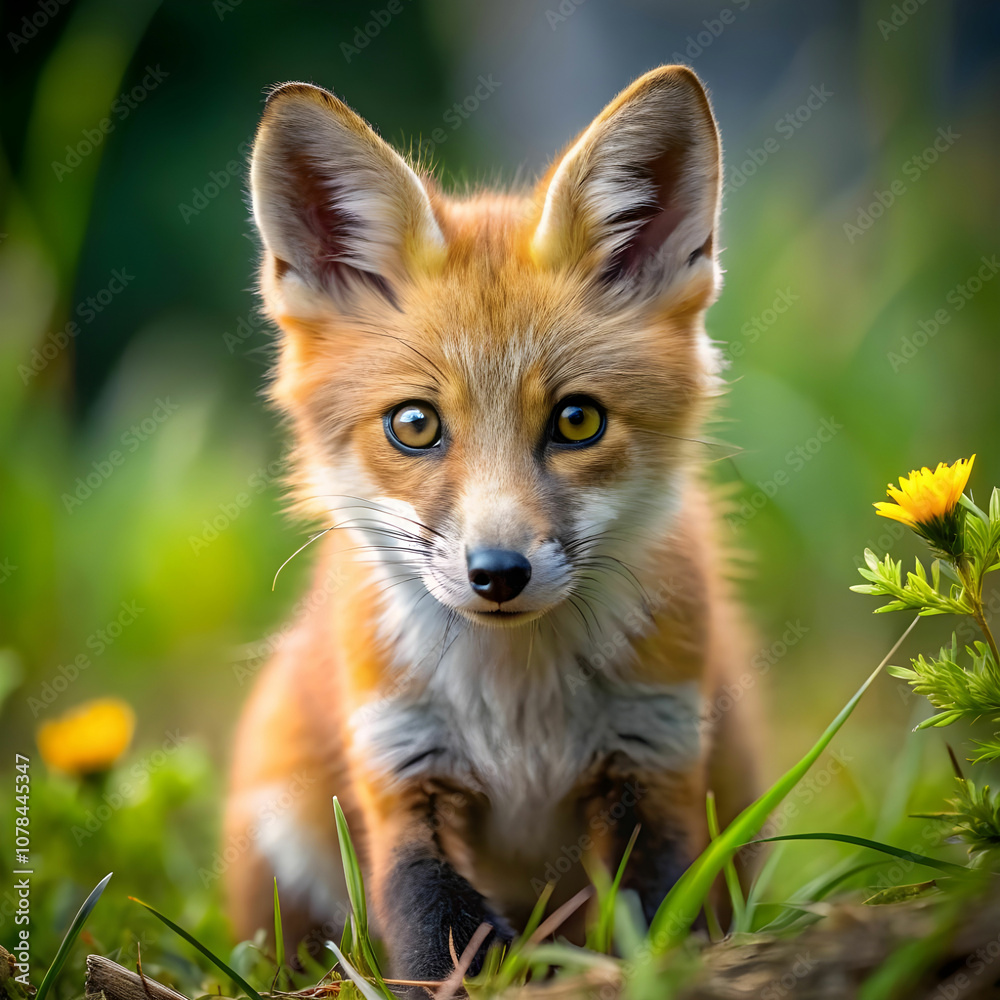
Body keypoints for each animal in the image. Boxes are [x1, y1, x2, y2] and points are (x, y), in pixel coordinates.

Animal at [224, 64, 759, 981]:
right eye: (414, 425)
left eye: (578, 421)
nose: (498, 574)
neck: (518, 708)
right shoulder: (403, 766)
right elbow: (428, 928)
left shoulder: (653, 754)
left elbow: (653, 917)